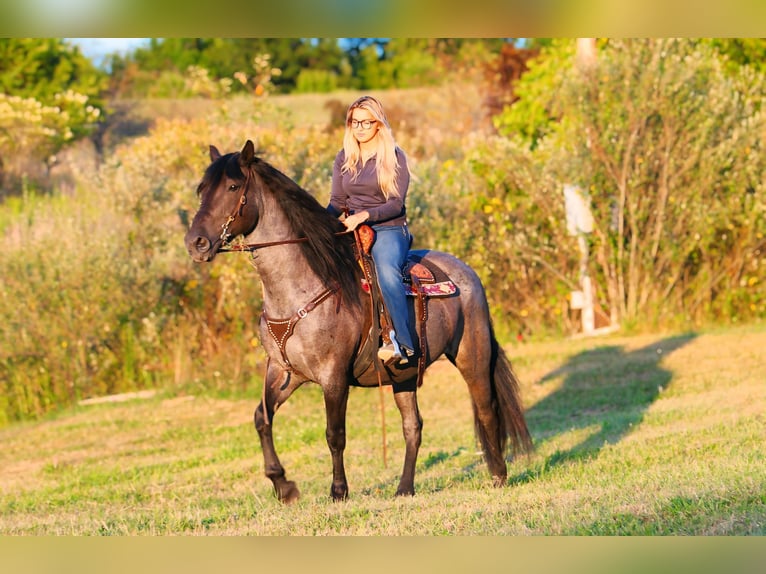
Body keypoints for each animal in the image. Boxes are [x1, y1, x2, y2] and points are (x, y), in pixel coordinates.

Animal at [185, 142, 536, 506]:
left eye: (232, 187)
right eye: (201, 190)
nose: (196, 243)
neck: (301, 289)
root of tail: (467, 272)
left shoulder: (333, 376)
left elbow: (334, 434)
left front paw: (338, 491)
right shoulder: (284, 372)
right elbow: (261, 419)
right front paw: (283, 486)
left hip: (473, 358)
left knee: (486, 409)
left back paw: (498, 476)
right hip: (404, 377)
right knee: (413, 427)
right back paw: (404, 488)